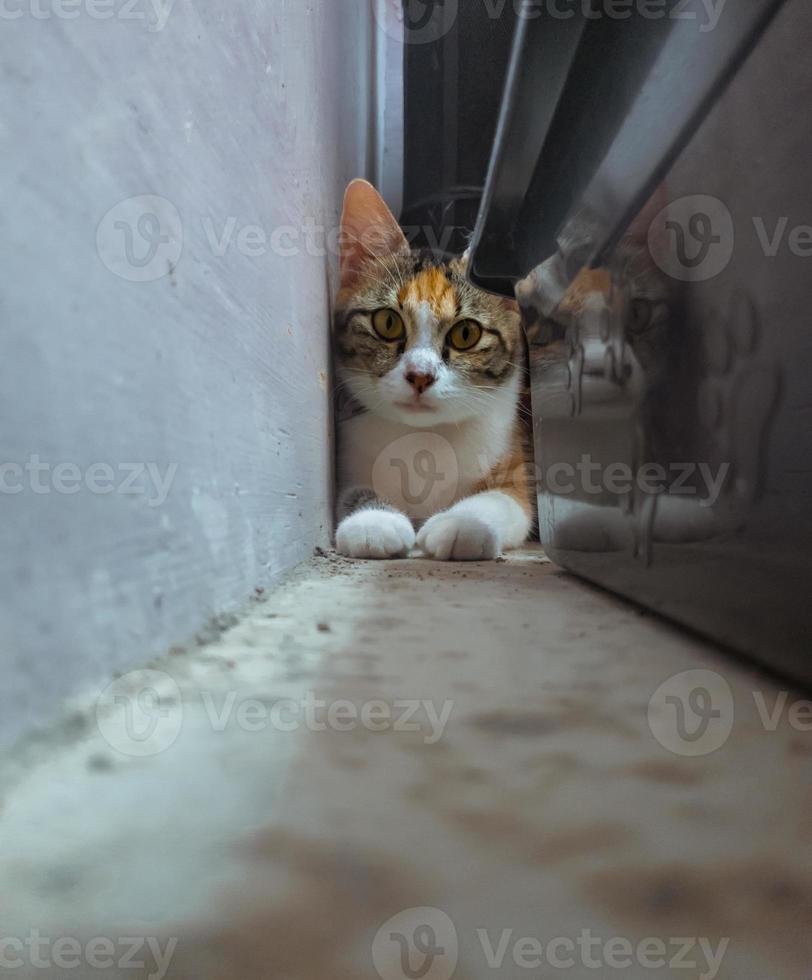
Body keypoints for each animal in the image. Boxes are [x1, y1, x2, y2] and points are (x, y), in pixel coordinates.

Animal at [332, 176, 532, 560]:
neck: (424, 435)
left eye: (466, 334)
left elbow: (505, 500)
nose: (420, 375)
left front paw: (461, 524)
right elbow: (352, 489)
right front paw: (374, 520)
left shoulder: (514, 461)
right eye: (388, 323)